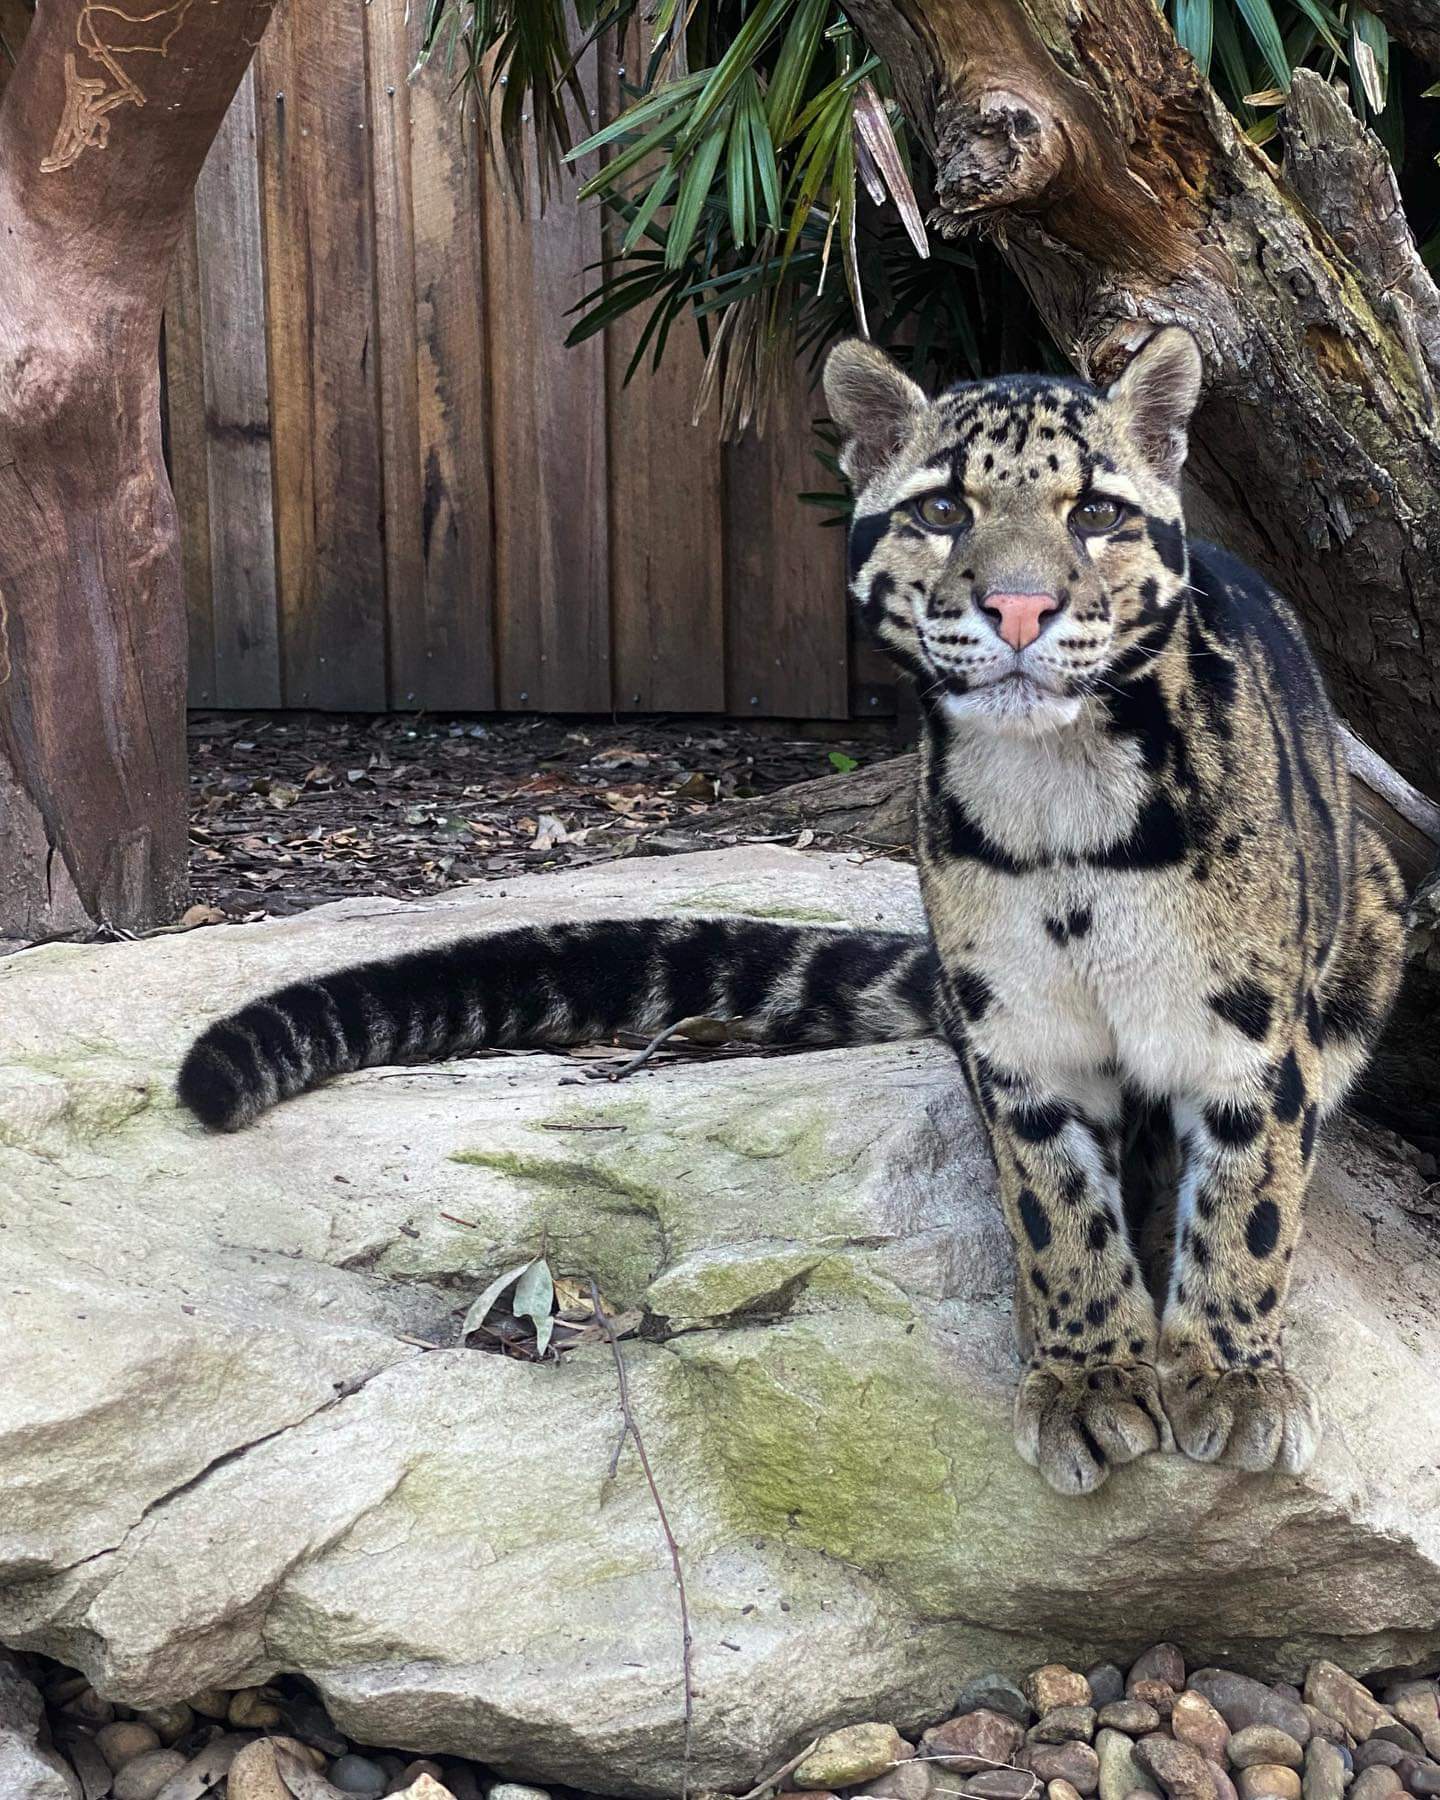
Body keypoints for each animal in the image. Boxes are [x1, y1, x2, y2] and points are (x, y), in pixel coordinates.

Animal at [180, 331, 1404, 1497]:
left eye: (1096, 511)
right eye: (943, 508)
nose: (1018, 606)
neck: (1059, 803)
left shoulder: (1248, 1037)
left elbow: (1249, 1206)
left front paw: (1231, 1379)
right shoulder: (1017, 1041)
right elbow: (1056, 1212)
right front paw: (1087, 1377)